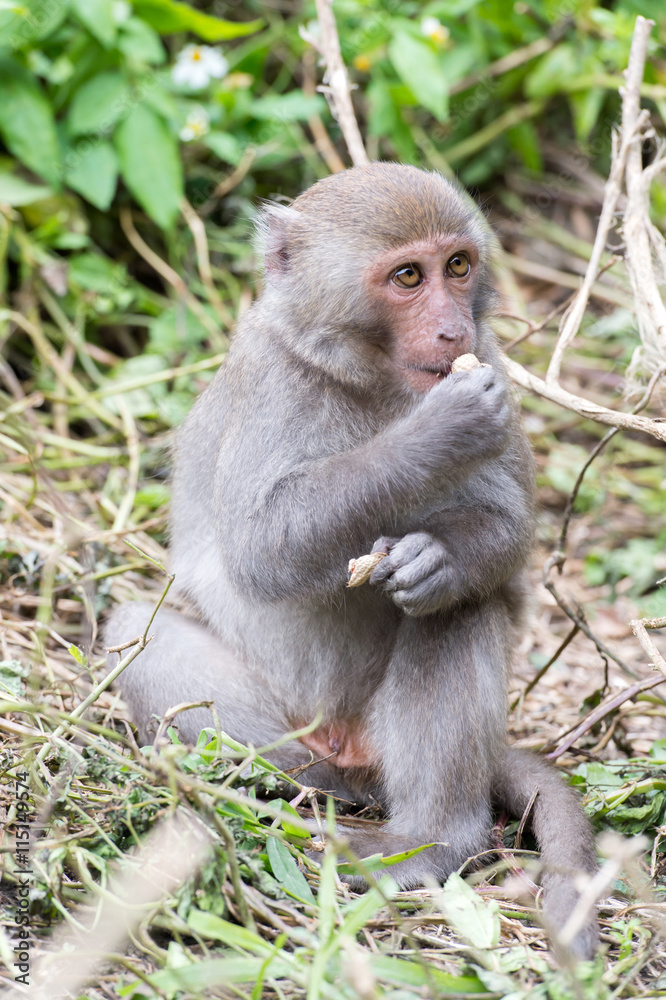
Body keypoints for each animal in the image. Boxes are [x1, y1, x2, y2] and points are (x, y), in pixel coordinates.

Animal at [107, 164, 596, 960]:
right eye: (408, 276)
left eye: (458, 266)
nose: (454, 329)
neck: (375, 380)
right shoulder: (274, 382)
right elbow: (261, 547)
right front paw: (438, 432)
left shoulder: (491, 361)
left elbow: (504, 532)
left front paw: (437, 559)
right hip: (291, 720)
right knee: (133, 632)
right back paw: (303, 790)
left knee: (458, 610)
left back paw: (433, 840)